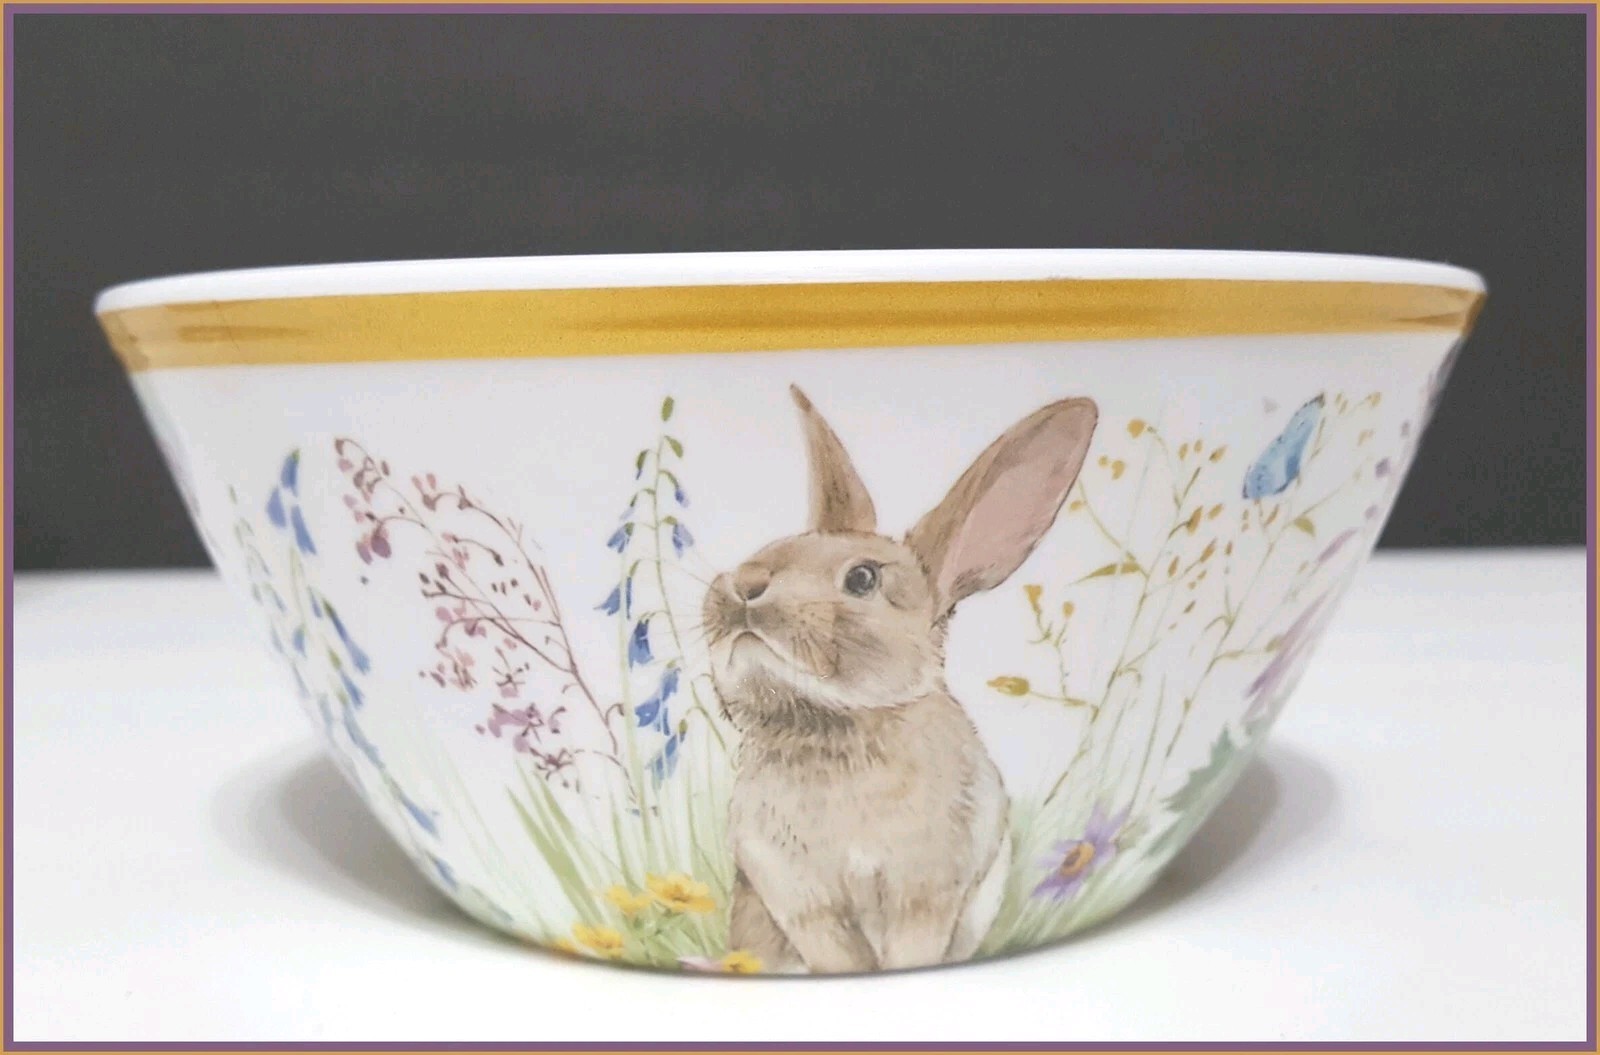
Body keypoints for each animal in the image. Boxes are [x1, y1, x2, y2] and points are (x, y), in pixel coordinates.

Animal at [701, 384, 1099, 973]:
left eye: (863, 578)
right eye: (766, 550)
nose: (744, 584)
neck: (831, 725)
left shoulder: (925, 893)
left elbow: (912, 946)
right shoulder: (801, 900)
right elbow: (838, 955)